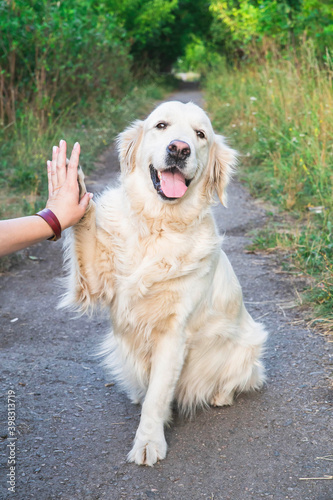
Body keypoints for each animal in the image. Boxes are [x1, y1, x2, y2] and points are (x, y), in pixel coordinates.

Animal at [60, 102, 268, 468]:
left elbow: (158, 396)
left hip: (251, 343)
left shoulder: (173, 332)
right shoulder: (96, 282)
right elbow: (85, 227)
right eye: (161, 125)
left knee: (242, 376)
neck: (158, 224)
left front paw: (148, 441)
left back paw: (220, 395)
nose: (179, 148)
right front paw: (73, 188)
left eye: (200, 134)